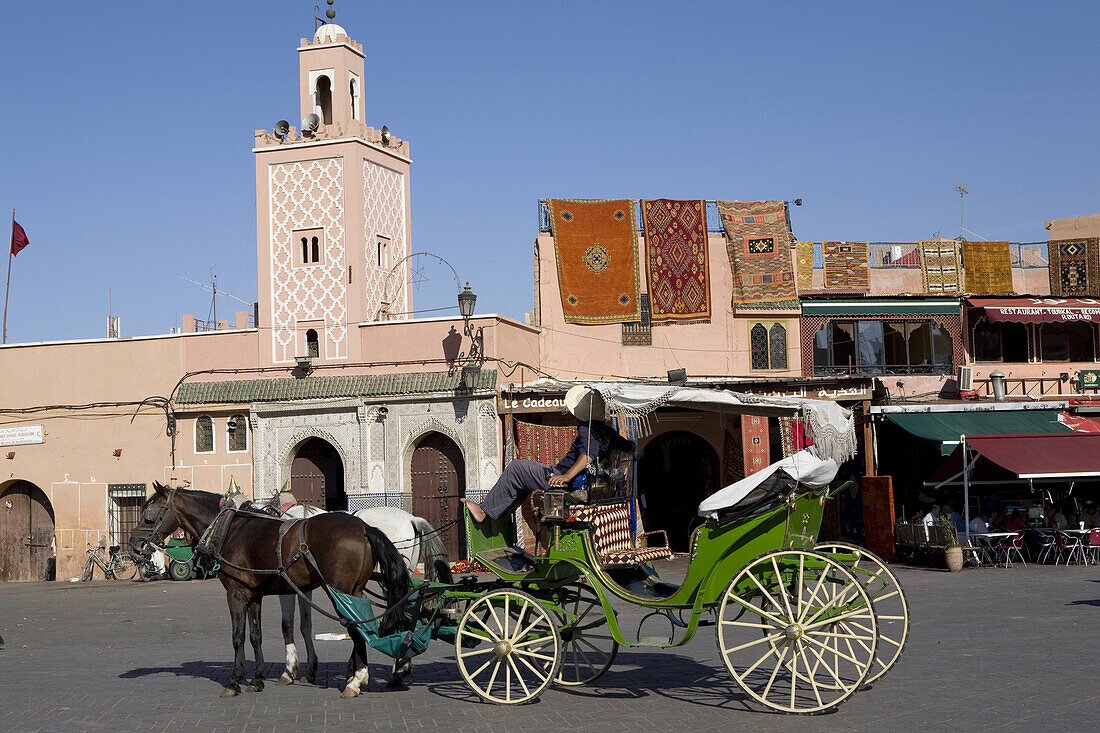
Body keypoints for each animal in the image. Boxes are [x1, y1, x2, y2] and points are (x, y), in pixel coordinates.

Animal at [133, 482, 409, 695]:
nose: (135, 545)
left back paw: (356, 680)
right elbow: (256, 636)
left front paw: (234, 682)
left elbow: (238, 636)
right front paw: (257, 679)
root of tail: (364, 528)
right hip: (356, 590)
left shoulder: (236, 593)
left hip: (341, 591)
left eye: (149, 513)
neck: (230, 528)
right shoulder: (254, 595)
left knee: (356, 627)